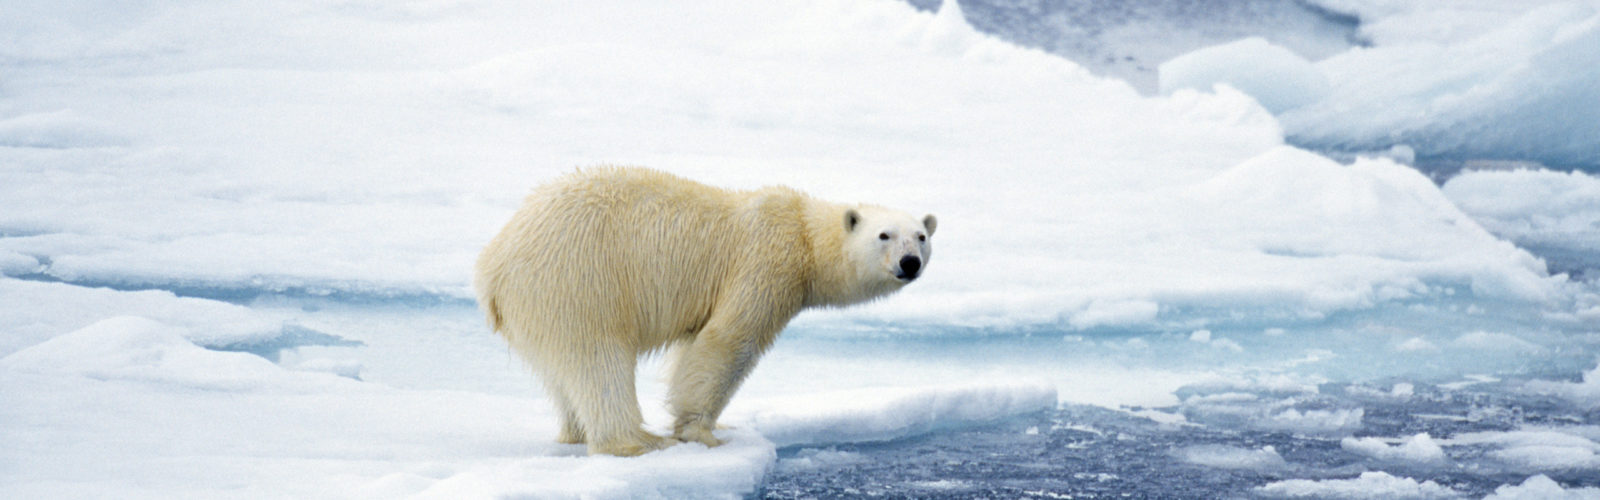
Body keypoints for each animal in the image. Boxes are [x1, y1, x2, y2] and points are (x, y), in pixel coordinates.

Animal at [467, 168, 934, 458]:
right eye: (884, 235)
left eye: (921, 236)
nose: (909, 263)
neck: (803, 233)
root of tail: (493, 266)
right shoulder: (763, 266)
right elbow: (727, 342)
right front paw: (702, 432)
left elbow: (694, 347)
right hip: (579, 281)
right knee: (598, 360)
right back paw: (637, 441)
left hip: (540, 305)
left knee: (561, 373)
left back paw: (574, 433)